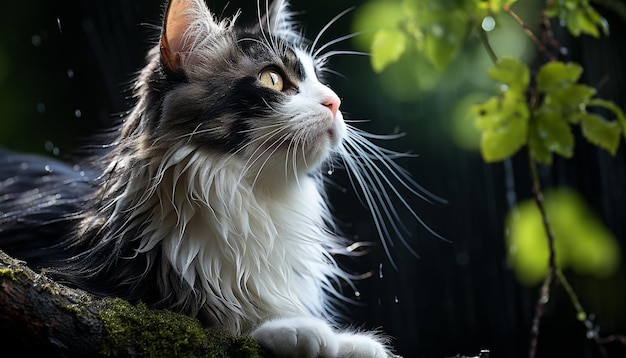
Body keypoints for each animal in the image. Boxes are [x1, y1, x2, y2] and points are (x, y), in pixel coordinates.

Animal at [0, 0, 432, 358]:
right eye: (273, 80)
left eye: (318, 79)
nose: (335, 103)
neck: (252, 199)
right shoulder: (84, 283)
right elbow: (206, 318)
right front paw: (297, 331)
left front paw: (354, 344)